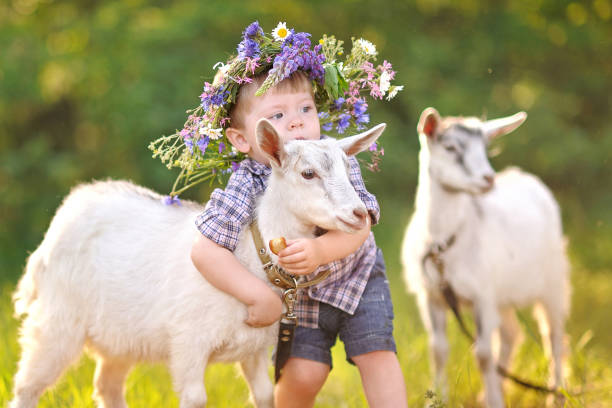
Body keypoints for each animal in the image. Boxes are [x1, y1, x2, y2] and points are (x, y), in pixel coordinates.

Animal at [9, 118, 384, 408]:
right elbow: (195, 398)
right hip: (57, 322)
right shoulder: (188, 343)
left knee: (107, 386)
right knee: (27, 386)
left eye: (350, 172)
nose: (359, 214)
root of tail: (68, 210)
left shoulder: (256, 350)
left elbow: (265, 395)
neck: (249, 257)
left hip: (120, 335)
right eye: (308, 173)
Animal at [402, 107, 568, 406]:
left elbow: (482, 354)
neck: (444, 245)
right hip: (503, 295)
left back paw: (556, 396)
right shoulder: (431, 295)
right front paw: (438, 399)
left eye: (485, 148)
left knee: (554, 337)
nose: (488, 179)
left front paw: (494, 402)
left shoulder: (482, 296)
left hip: (553, 282)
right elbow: (438, 349)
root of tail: (523, 176)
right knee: (511, 334)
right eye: (450, 147)